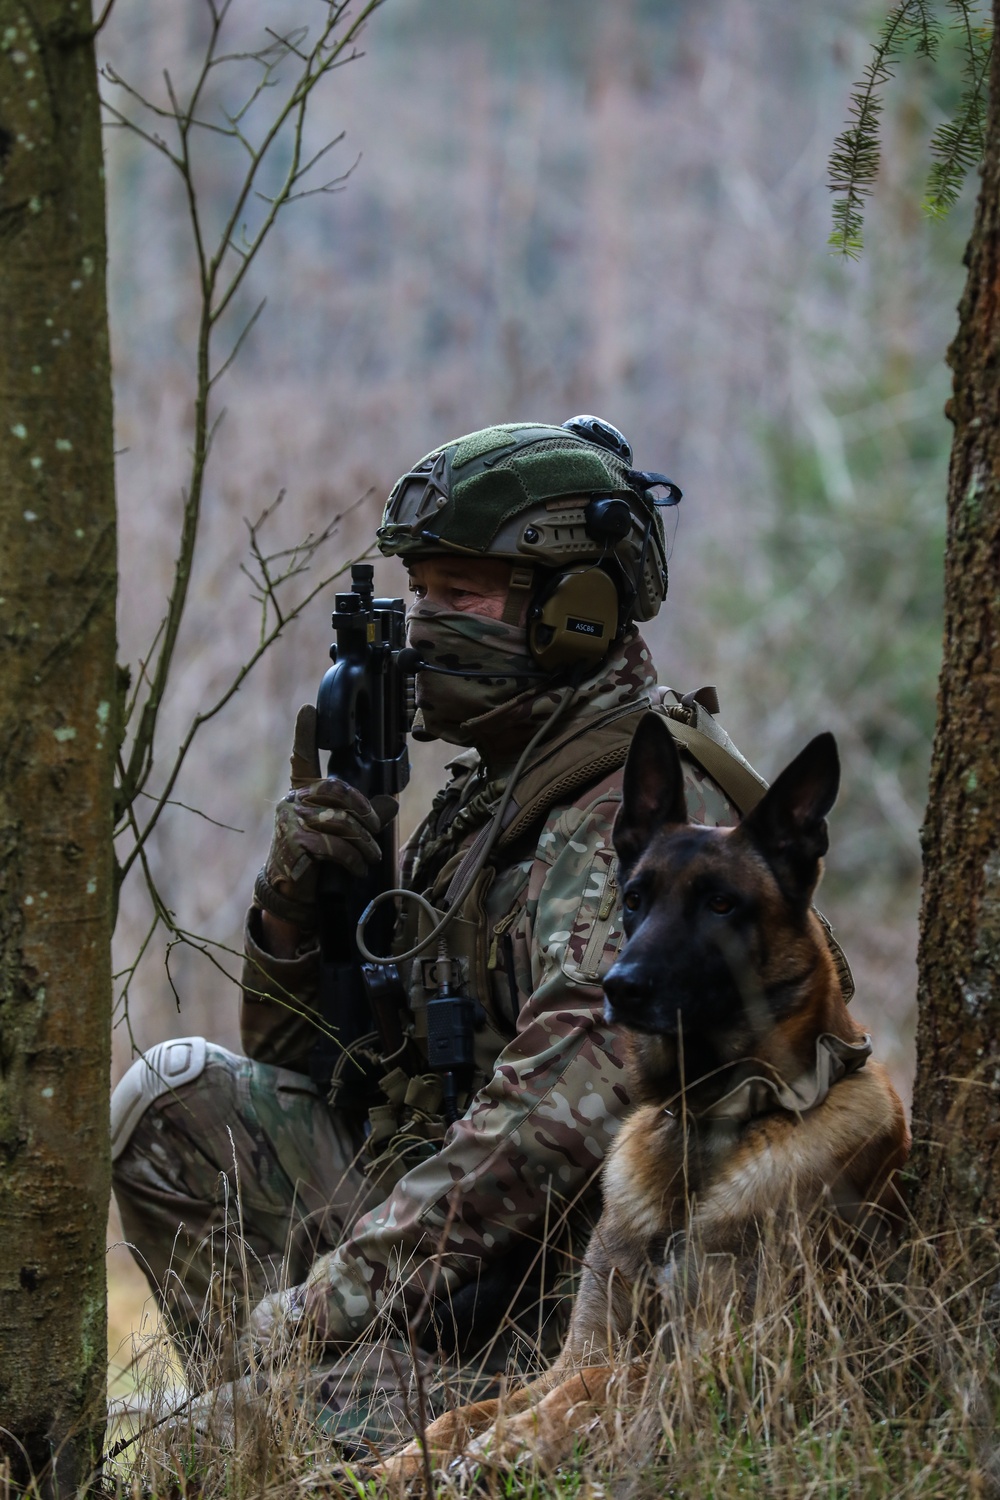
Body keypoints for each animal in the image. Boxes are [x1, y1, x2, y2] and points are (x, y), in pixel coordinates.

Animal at [373, 717, 905, 1476]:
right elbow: (466, 1409)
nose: (617, 986)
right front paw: (393, 1464)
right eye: (633, 898)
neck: (703, 1125)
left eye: (721, 903)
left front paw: (509, 1444)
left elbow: (605, 1379)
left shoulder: (727, 1352)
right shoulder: (579, 1345)